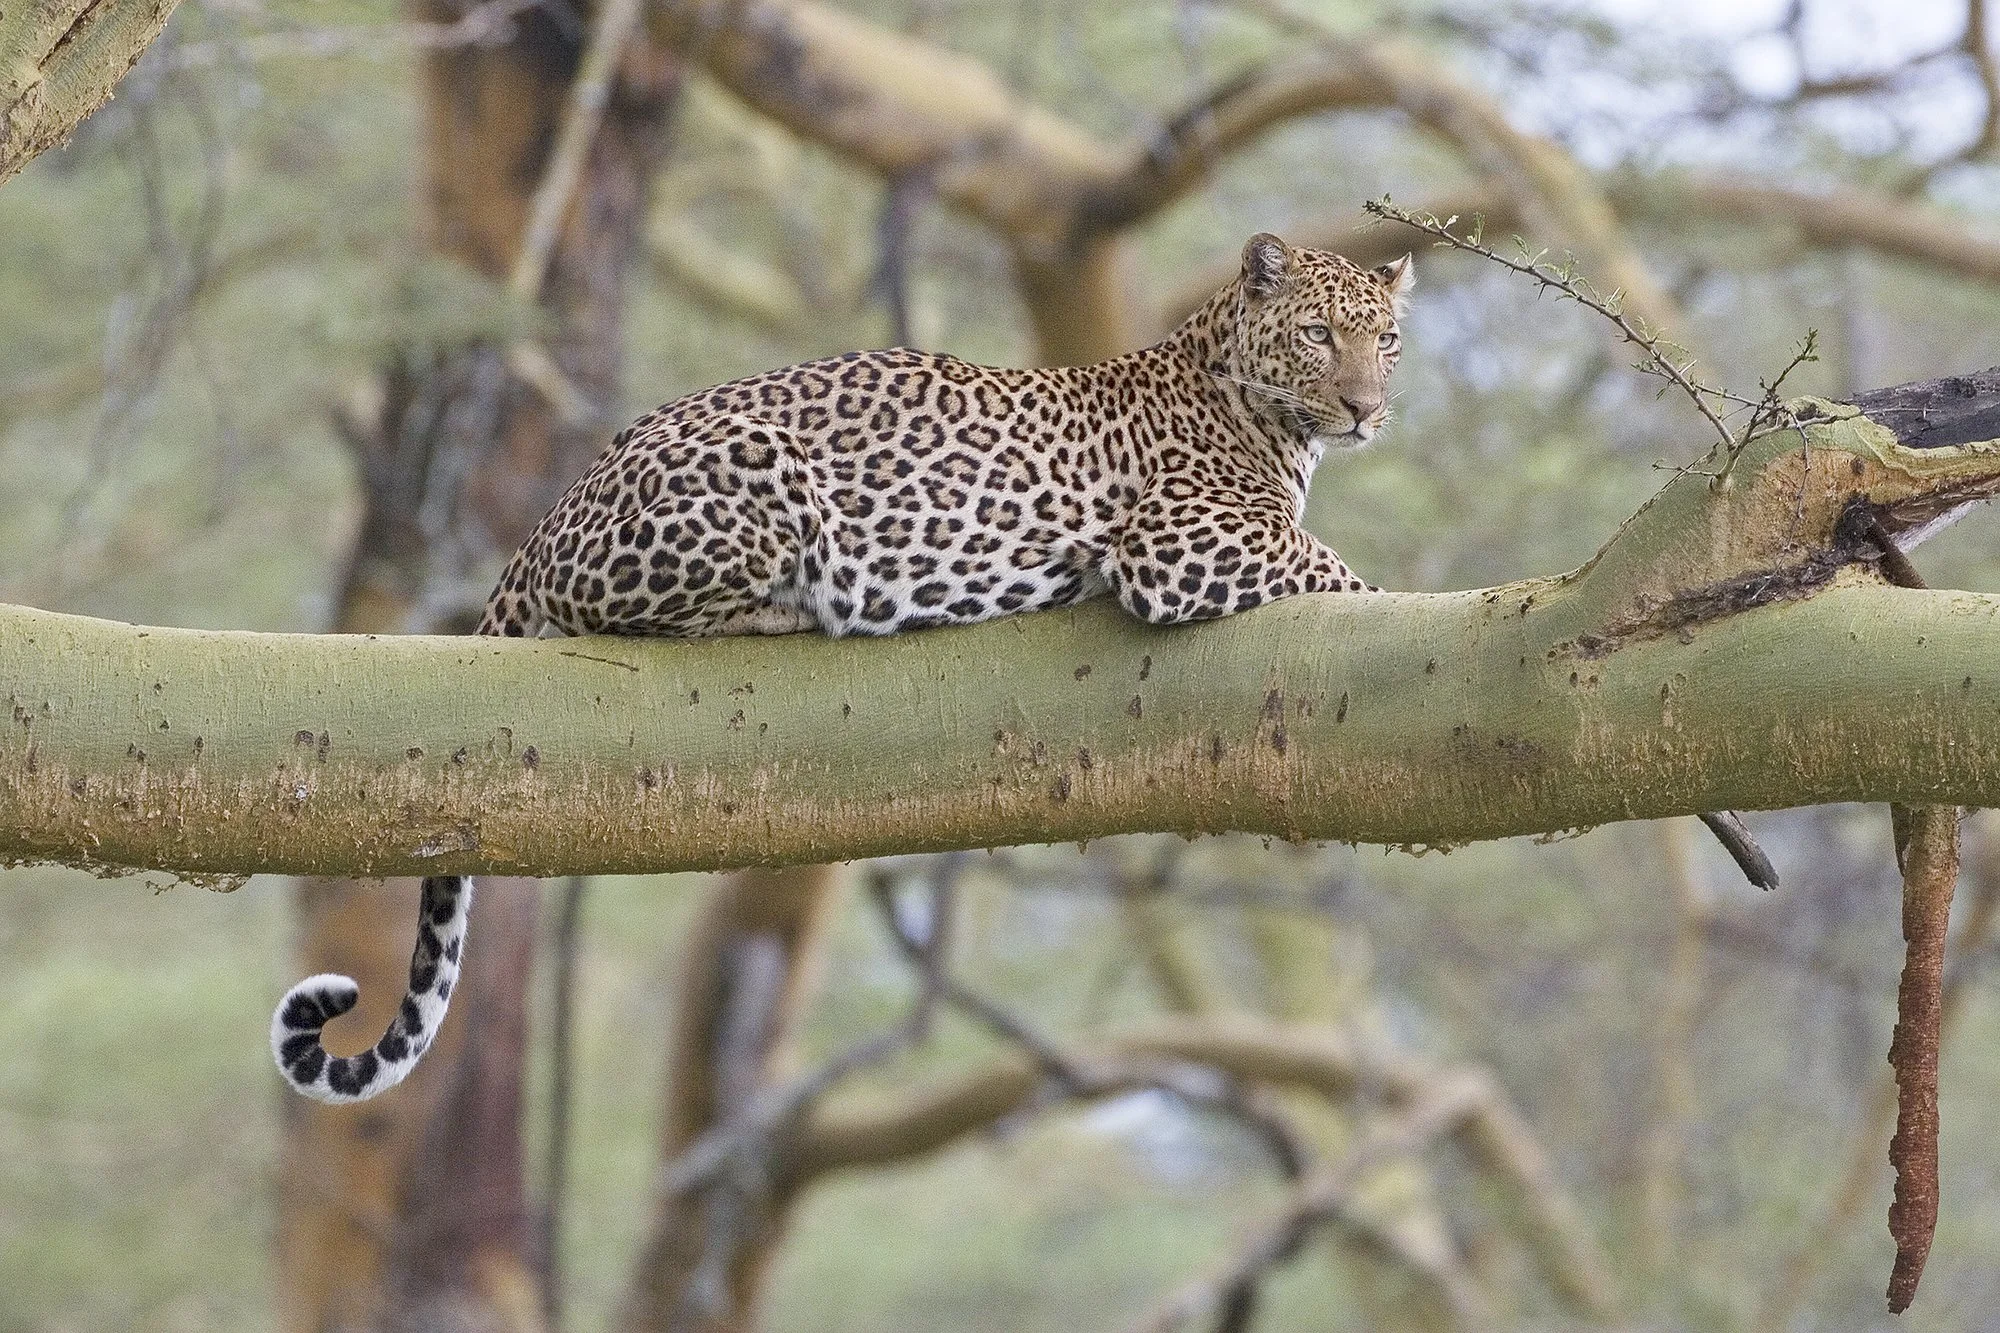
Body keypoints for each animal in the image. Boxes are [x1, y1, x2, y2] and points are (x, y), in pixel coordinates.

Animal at [271, 231, 1413, 1102]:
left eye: (1388, 341)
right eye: (1318, 334)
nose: (1367, 410)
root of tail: (554, 509)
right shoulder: (1176, 543)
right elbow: (1331, 565)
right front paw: (1392, 597)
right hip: (756, 479)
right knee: (629, 610)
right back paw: (804, 606)